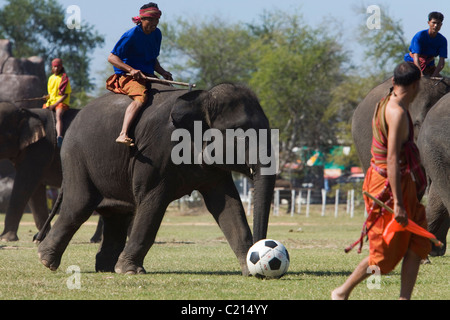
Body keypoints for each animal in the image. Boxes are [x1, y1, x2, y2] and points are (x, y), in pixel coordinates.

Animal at [0, 102, 79, 240]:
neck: (26, 112)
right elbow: (35, 191)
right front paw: (41, 237)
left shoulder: (40, 148)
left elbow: (24, 185)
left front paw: (5, 238)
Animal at [37, 84, 278, 276]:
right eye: (238, 132)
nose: (260, 251)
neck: (202, 98)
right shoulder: (154, 153)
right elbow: (153, 202)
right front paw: (130, 271)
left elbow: (227, 204)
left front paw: (249, 271)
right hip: (76, 157)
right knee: (79, 206)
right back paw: (46, 261)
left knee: (117, 216)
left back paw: (105, 268)